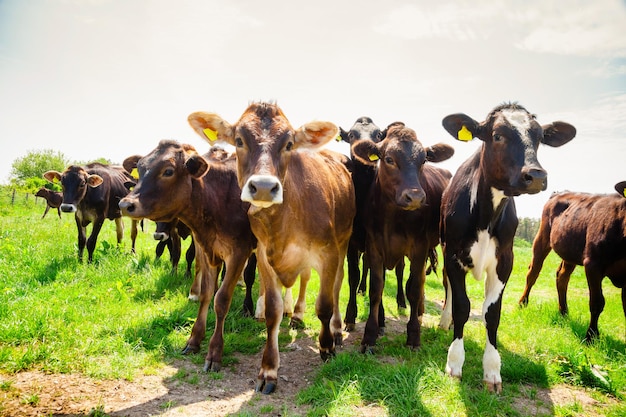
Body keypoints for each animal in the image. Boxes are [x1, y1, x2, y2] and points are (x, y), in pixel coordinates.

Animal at [118, 140, 258, 368]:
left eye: (168, 171)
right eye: (140, 167)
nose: (125, 204)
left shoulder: (239, 252)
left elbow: (222, 300)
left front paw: (214, 351)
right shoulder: (207, 249)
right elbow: (207, 294)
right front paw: (194, 340)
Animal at [186, 101, 356, 394]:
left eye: (289, 144)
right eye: (239, 140)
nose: (264, 187)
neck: (284, 221)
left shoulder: (328, 253)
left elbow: (324, 304)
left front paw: (326, 347)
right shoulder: (264, 256)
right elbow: (273, 311)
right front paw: (268, 369)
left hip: (344, 240)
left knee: (336, 287)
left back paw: (334, 331)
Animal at [346, 121, 454, 352]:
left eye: (423, 160)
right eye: (389, 159)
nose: (415, 197)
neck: (392, 218)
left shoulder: (419, 248)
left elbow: (413, 287)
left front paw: (413, 336)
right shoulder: (374, 247)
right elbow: (375, 288)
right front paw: (370, 336)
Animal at [436, 102, 572, 392]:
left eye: (539, 137)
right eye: (497, 135)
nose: (536, 175)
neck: (487, 216)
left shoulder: (504, 261)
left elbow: (492, 314)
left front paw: (492, 371)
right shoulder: (453, 255)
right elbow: (463, 306)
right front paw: (455, 363)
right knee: (448, 287)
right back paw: (445, 320)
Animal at [516, 182, 624, 342]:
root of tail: (559, 192)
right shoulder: (593, 264)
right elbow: (597, 302)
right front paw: (591, 336)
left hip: (569, 250)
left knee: (562, 276)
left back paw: (564, 312)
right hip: (542, 237)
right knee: (533, 272)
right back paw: (523, 303)